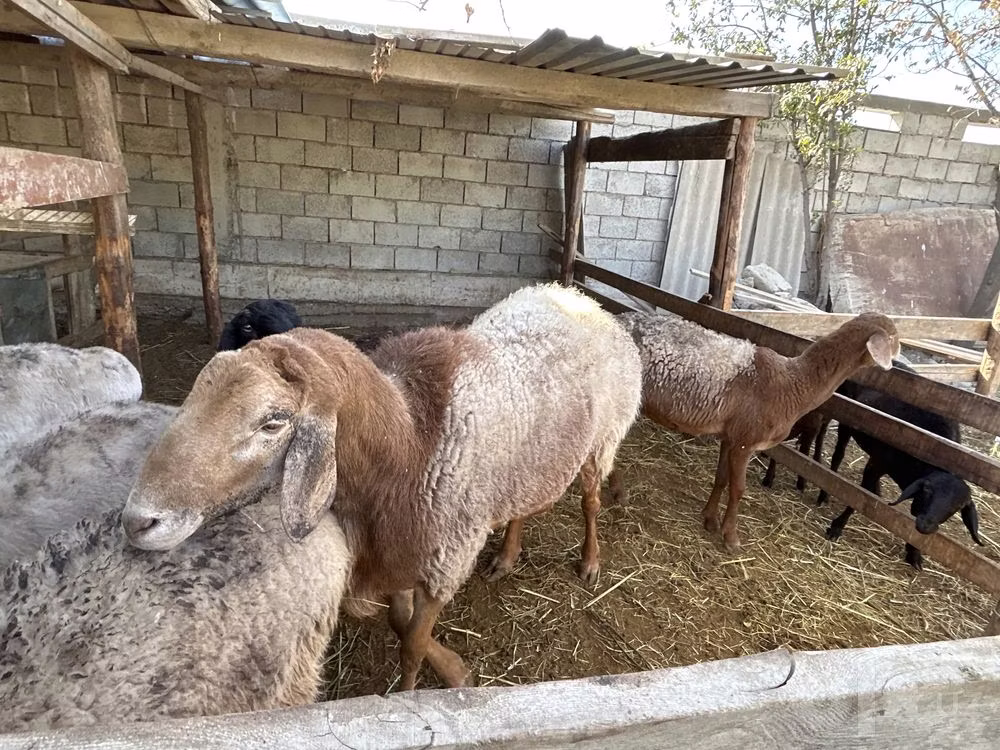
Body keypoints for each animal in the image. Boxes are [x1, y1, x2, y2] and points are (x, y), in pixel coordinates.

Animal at [120, 282, 643, 691]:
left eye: (273, 422)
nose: (137, 521)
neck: (409, 444)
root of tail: (577, 297)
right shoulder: (395, 548)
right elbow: (398, 621)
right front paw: (451, 666)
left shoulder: (443, 563)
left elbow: (410, 644)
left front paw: (418, 689)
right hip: (528, 464)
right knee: (521, 507)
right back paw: (507, 556)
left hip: (602, 441)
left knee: (591, 500)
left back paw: (590, 561)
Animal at [616, 310, 900, 550]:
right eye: (893, 337)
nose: (896, 360)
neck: (794, 382)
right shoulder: (746, 442)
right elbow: (739, 489)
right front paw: (731, 537)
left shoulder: (731, 437)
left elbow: (721, 478)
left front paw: (710, 519)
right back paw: (618, 492)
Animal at [818, 363, 983, 570]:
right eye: (928, 491)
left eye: (958, 506)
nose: (926, 526)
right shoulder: (877, 466)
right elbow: (858, 497)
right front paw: (837, 526)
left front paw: (914, 553)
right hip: (846, 417)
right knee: (837, 455)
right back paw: (825, 492)